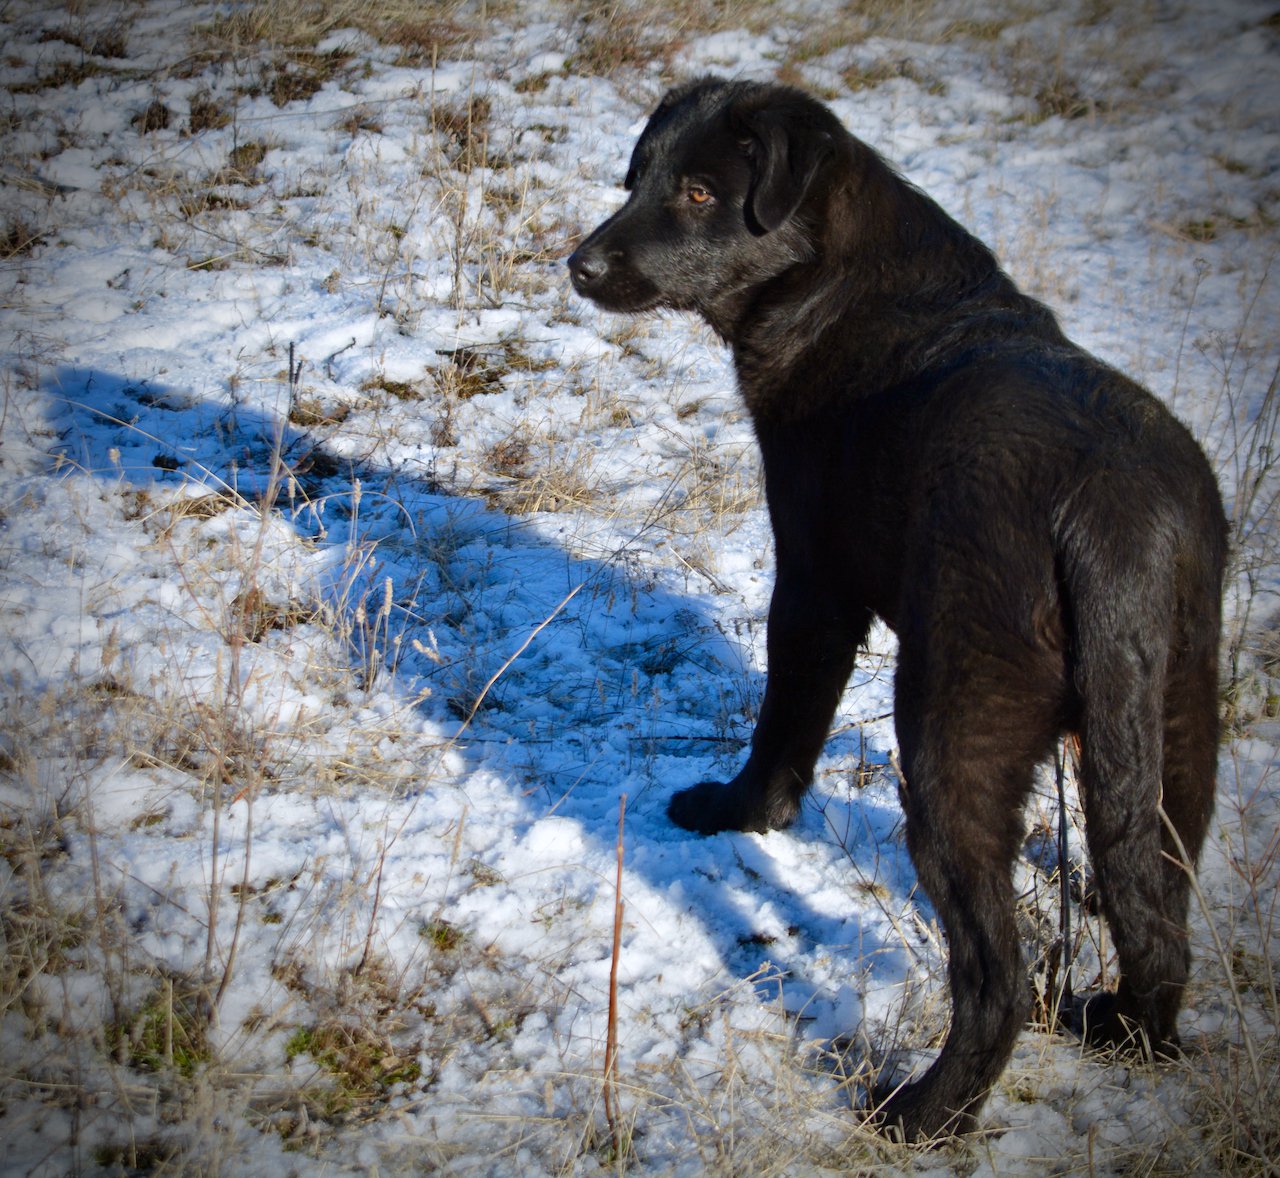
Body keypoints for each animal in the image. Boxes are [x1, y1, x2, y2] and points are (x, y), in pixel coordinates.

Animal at [570, 78, 1228, 1147]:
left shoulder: (811, 582)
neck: (837, 284)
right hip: (1178, 725)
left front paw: (736, 815)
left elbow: (784, 722)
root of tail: (1110, 514)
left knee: (996, 975)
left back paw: (921, 1112)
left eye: (703, 193)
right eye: (640, 179)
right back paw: (1130, 1032)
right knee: (1159, 913)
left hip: (952, 733)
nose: (579, 264)